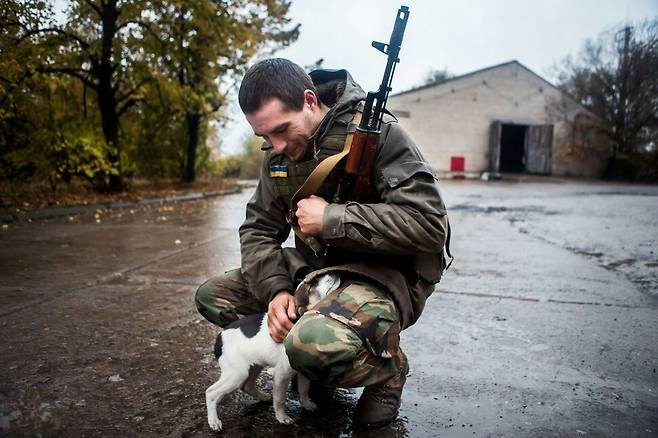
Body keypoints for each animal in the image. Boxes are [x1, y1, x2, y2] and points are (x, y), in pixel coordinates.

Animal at [204, 274, 338, 432]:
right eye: (311, 287)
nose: (333, 274)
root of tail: (219, 338)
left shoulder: (304, 372)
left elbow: (304, 390)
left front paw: (307, 404)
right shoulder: (282, 374)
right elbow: (280, 399)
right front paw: (282, 417)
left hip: (254, 366)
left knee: (247, 386)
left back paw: (263, 397)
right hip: (236, 373)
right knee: (211, 393)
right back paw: (214, 421)